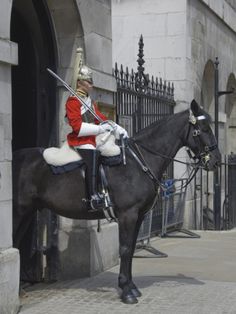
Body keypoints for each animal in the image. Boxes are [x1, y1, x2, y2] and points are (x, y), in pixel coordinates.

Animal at [12, 99, 220, 302]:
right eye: (203, 128)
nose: (216, 161)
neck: (139, 162)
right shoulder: (128, 215)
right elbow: (126, 248)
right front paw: (126, 291)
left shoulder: (139, 216)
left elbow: (131, 249)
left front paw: (131, 286)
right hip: (18, 212)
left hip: (27, 213)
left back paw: (20, 290)